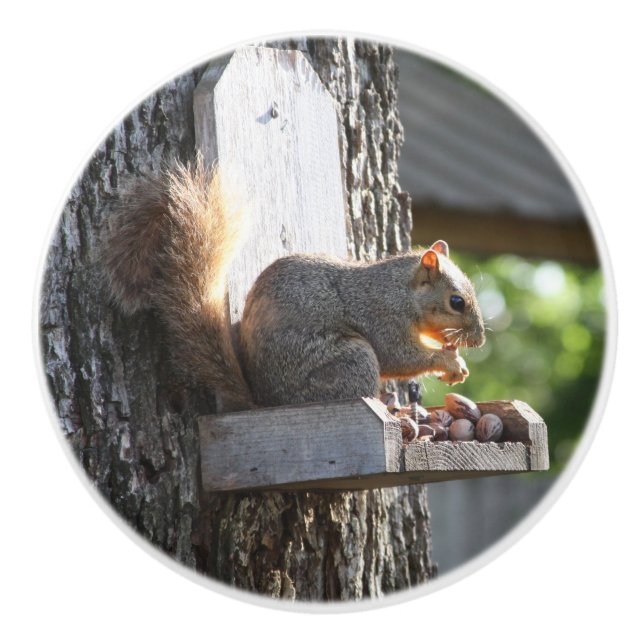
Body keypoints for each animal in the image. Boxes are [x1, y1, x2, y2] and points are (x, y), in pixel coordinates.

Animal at [102, 157, 485, 411]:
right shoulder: (381, 315)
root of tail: (266, 401)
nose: (479, 340)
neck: (402, 292)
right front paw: (449, 361)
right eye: (456, 302)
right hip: (350, 361)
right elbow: (399, 355)